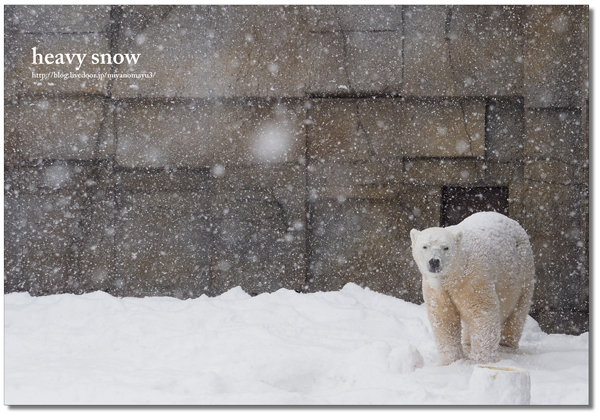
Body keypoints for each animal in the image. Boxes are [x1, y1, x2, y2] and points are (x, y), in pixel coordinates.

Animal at [410, 213, 536, 364]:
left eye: (446, 247)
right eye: (425, 246)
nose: (434, 262)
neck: (455, 274)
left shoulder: (474, 277)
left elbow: (481, 311)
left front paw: (481, 360)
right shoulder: (436, 287)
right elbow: (443, 315)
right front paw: (450, 360)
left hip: (522, 272)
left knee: (517, 312)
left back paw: (505, 347)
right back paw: (467, 344)